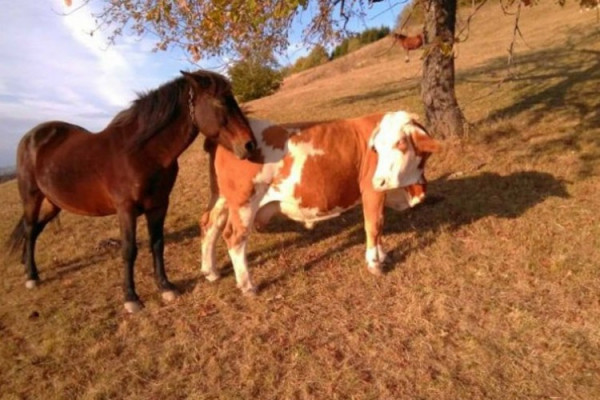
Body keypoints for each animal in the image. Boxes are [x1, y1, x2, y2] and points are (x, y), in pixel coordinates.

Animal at [7, 69, 256, 312]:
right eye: (220, 102)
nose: (249, 145)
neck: (141, 153)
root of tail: (30, 137)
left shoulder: (159, 205)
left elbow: (157, 244)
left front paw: (166, 287)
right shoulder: (126, 209)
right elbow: (129, 250)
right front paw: (131, 298)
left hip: (53, 203)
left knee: (34, 231)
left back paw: (28, 267)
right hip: (31, 198)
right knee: (29, 229)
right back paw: (31, 276)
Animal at [199, 110, 438, 294]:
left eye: (401, 143)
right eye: (376, 148)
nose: (381, 179)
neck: (409, 186)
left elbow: (378, 225)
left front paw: (383, 255)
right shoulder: (372, 190)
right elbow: (374, 225)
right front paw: (374, 264)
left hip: (222, 198)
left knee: (209, 225)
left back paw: (210, 271)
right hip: (244, 203)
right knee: (234, 238)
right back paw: (247, 285)